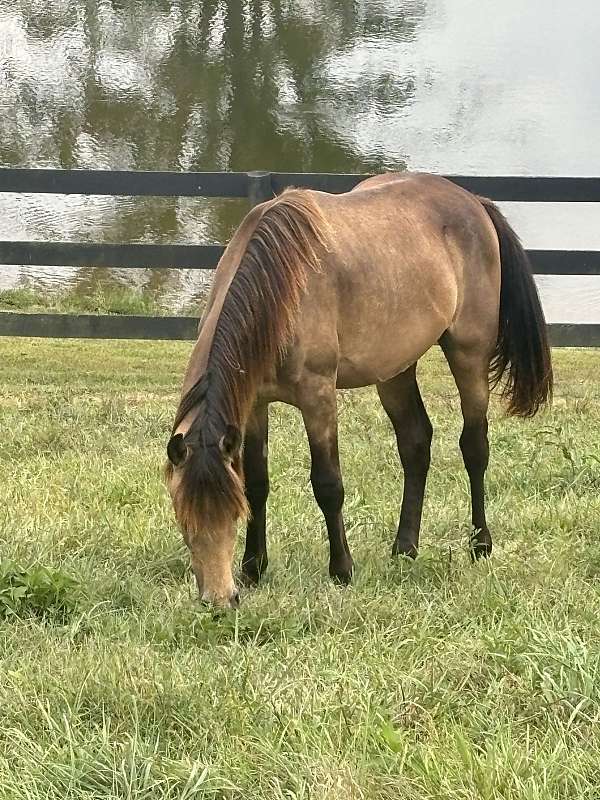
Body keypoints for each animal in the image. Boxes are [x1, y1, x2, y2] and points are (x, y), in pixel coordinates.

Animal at [164, 170, 552, 608]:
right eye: (183, 518)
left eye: (230, 514)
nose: (219, 601)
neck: (280, 289)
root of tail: (473, 201)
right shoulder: (253, 405)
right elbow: (258, 482)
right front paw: (254, 568)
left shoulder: (318, 397)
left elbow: (328, 484)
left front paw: (341, 570)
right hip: (394, 370)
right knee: (416, 444)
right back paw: (405, 548)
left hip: (469, 353)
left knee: (474, 446)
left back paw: (480, 544)